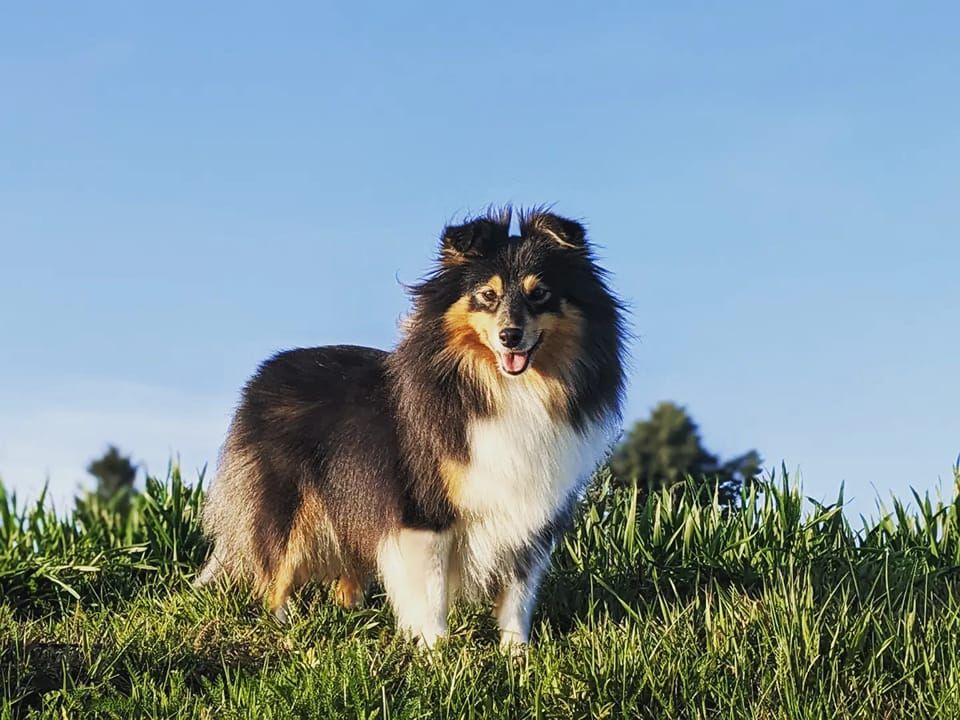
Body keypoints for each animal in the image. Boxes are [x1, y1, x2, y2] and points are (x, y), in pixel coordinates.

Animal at [199, 207, 628, 648]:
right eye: (487, 296)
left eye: (539, 293)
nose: (510, 336)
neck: (507, 388)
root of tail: (265, 372)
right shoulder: (423, 508)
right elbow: (431, 591)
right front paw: (435, 649)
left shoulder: (533, 512)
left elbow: (518, 594)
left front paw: (516, 653)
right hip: (289, 504)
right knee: (276, 571)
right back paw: (285, 629)